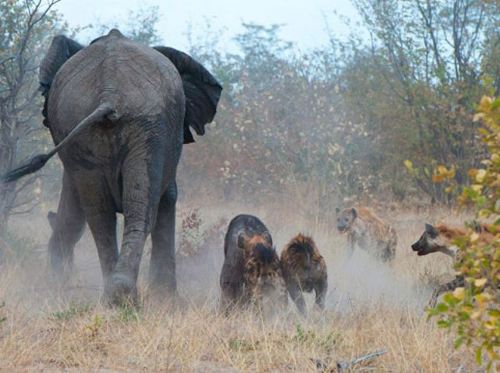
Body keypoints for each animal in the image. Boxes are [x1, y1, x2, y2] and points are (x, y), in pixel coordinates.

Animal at [1, 28, 221, 302]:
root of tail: (109, 92)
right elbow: (169, 196)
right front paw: (168, 301)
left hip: (88, 122)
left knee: (101, 214)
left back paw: (115, 296)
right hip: (148, 128)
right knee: (139, 210)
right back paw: (124, 296)